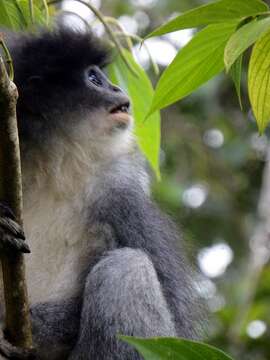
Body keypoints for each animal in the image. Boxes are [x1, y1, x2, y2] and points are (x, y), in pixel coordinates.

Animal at [0, 26, 198, 360]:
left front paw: (35, 326)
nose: (117, 88)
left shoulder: (119, 193)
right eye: (94, 79)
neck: (50, 172)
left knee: (126, 269)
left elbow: (179, 324)